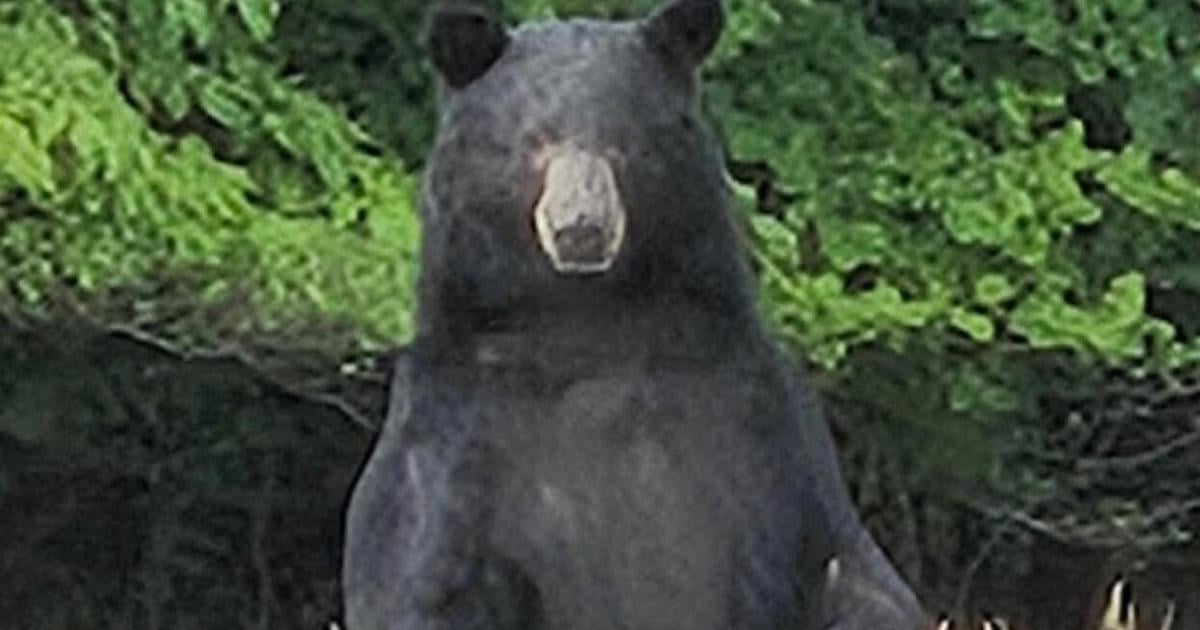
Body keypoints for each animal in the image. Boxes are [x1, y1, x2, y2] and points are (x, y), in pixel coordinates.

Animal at [341, 1, 927, 628]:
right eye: (533, 140)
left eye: (623, 139)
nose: (581, 228)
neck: (588, 322)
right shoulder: (453, 431)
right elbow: (429, 578)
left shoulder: (759, 417)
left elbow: (849, 577)